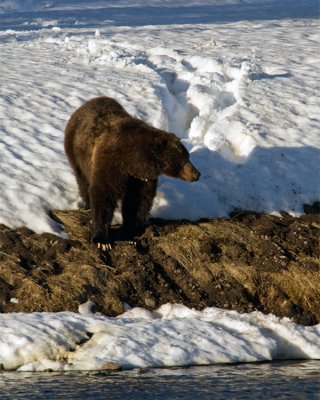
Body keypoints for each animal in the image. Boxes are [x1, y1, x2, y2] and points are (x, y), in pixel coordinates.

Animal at [64, 97, 200, 247]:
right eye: (184, 159)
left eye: (188, 156)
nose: (197, 174)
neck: (132, 161)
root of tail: (85, 104)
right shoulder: (111, 165)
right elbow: (103, 195)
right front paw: (102, 240)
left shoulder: (140, 178)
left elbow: (138, 200)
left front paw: (133, 228)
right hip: (77, 152)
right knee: (83, 180)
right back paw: (87, 204)